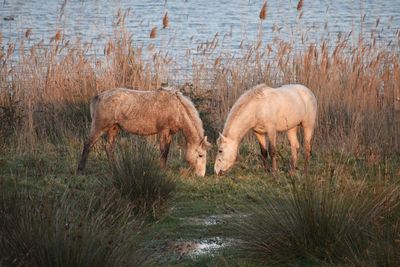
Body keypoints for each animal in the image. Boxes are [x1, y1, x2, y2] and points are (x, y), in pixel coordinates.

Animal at [76, 87, 211, 177]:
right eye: (200, 155)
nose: (201, 175)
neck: (177, 108)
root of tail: (99, 96)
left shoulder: (170, 133)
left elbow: (166, 151)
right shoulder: (164, 131)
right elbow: (163, 151)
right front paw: (162, 170)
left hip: (113, 128)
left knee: (109, 147)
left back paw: (114, 169)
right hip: (99, 127)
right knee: (88, 144)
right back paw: (80, 170)